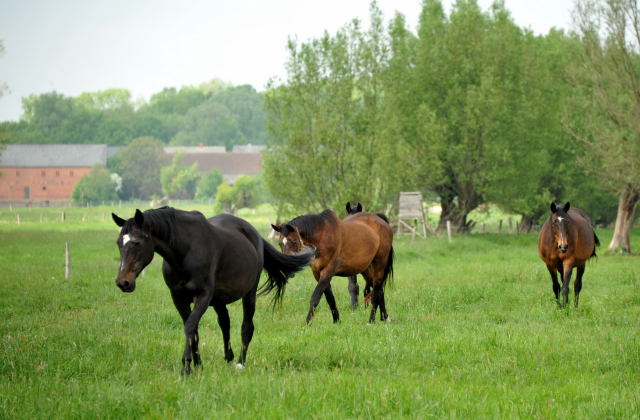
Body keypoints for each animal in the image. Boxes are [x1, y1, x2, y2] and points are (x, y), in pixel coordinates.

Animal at [111, 207, 314, 374]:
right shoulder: (178, 298)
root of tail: (254, 233)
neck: (185, 251)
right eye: (119, 243)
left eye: (136, 243)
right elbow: (194, 330)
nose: (123, 282)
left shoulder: (203, 296)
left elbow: (190, 326)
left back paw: (240, 363)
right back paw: (228, 357)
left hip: (248, 294)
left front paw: (186, 367)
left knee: (246, 327)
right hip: (219, 300)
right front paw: (197, 365)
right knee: (225, 322)